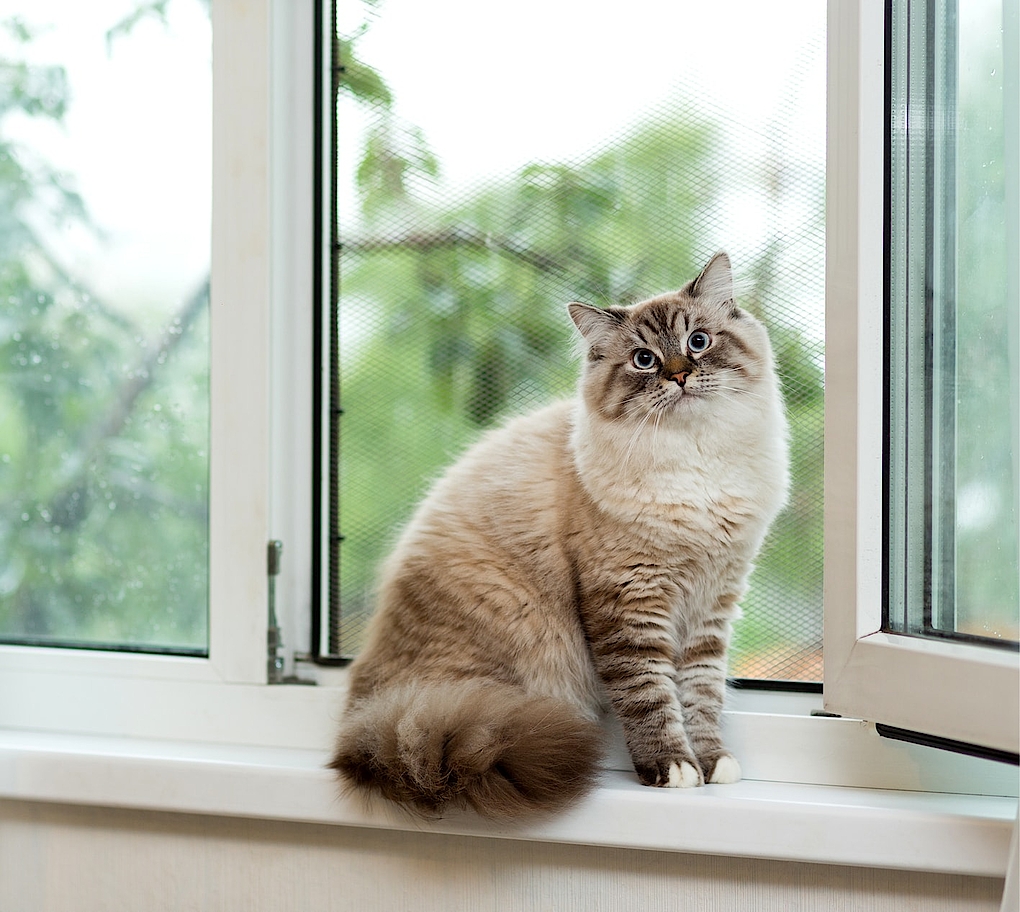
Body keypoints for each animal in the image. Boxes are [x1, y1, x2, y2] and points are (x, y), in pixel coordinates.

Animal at [330, 249, 791, 820]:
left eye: (698, 342)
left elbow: (700, 697)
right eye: (644, 360)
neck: (695, 464)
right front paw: (674, 769)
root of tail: (364, 719)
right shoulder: (629, 602)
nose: (680, 375)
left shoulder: (712, 603)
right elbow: (652, 698)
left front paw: (711, 762)